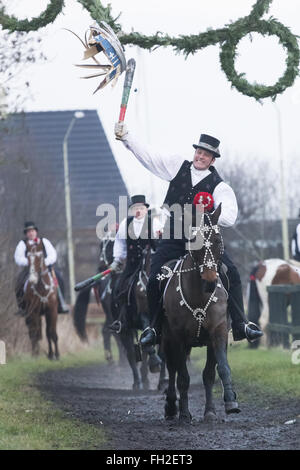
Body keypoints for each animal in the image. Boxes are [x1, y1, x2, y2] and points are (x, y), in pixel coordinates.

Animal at [162, 205, 239, 422]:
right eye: (194, 241)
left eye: (218, 240)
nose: (210, 281)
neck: (199, 296)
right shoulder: (177, 337)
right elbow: (182, 376)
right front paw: (184, 413)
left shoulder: (217, 332)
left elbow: (214, 372)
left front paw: (220, 407)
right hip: (166, 339)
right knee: (172, 370)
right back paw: (171, 407)